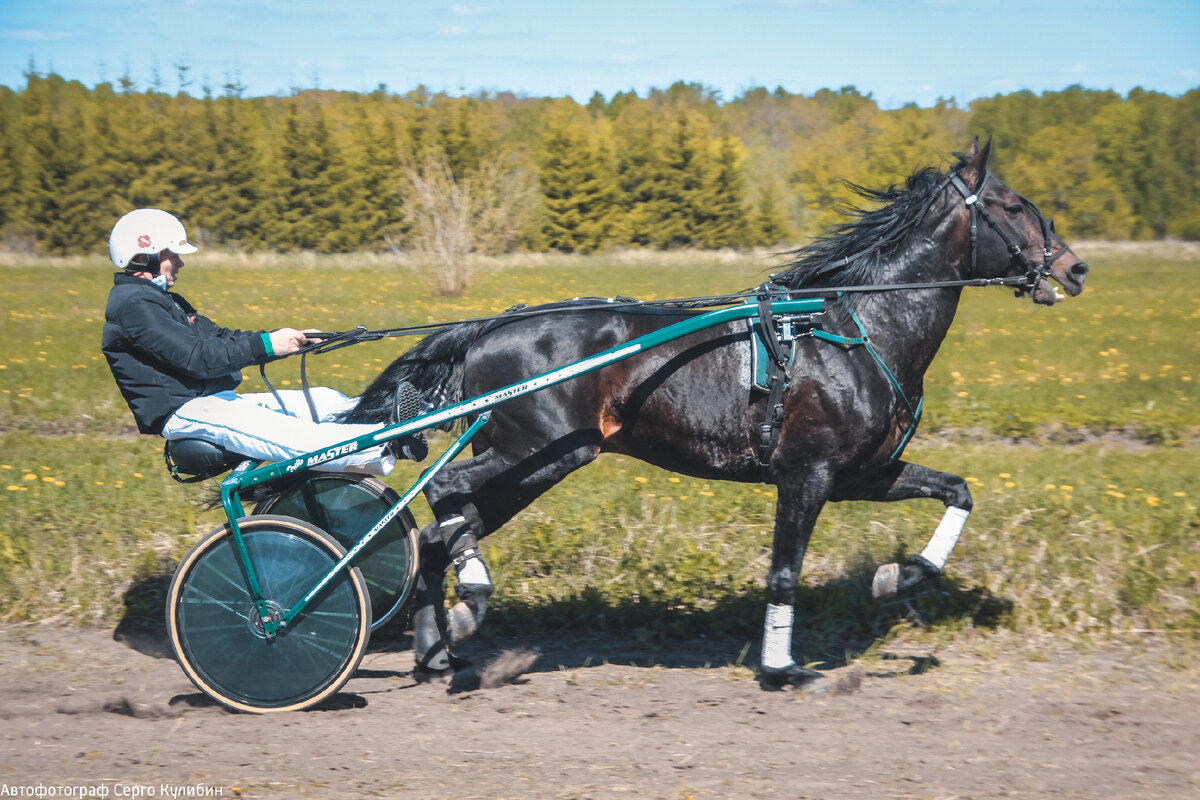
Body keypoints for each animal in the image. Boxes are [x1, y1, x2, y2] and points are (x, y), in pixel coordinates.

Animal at [343, 137, 1094, 690]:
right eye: (1013, 205)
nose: (1076, 268)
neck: (856, 329)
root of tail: (492, 324)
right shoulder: (806, 473)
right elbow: (784, 572)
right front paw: (781, 666)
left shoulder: (860, 474)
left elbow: (957, 491)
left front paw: (898, 575)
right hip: (538, 453)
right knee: (444, 493)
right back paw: (469, 596)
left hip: (530, 466)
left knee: (438, 533)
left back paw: (442, 647)